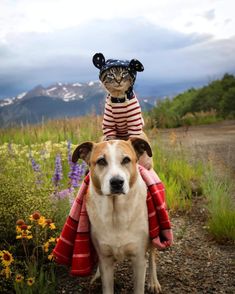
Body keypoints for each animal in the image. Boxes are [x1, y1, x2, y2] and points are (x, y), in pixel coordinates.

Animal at [72, 138, 162, 294]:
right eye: (101, 161)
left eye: (126, 159)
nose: (117, 182)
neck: (116, 213)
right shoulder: (105, 259)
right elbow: (107, 285)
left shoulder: (139, 259)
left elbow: (139, 285)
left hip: (153, 234)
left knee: (152, 256)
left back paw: (153, 282)